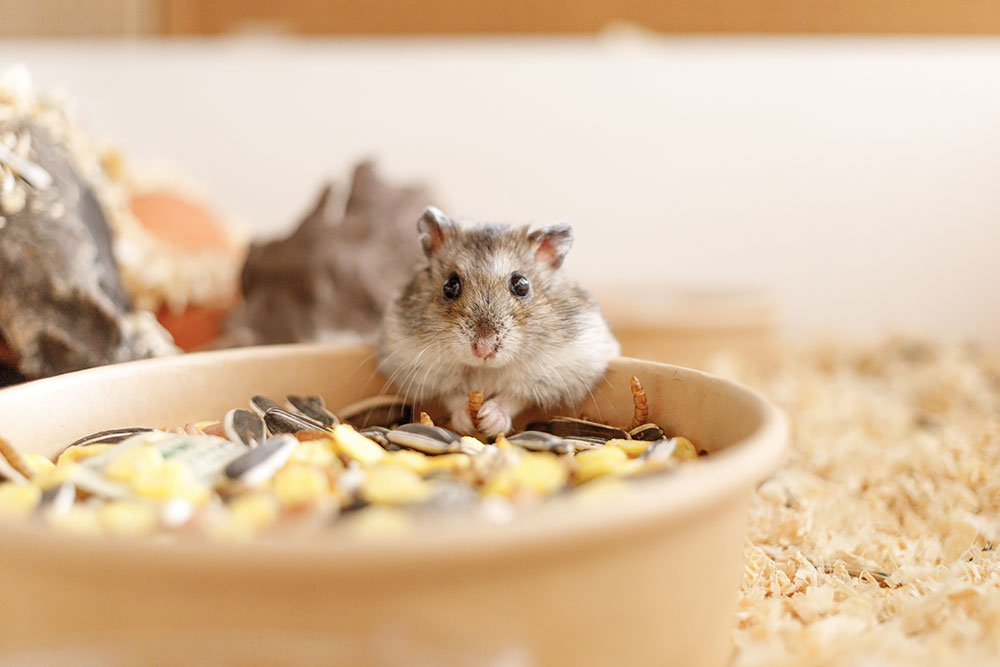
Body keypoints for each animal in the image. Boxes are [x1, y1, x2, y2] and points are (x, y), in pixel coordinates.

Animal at [376, 206, 620, 437]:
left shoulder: (559, 369)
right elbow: (452, 395)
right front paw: (468, 420)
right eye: (449, 285)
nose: (483, 350)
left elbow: (513, 397)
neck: (485, 370)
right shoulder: (417, 365)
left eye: (521, 285)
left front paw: (487, 419)